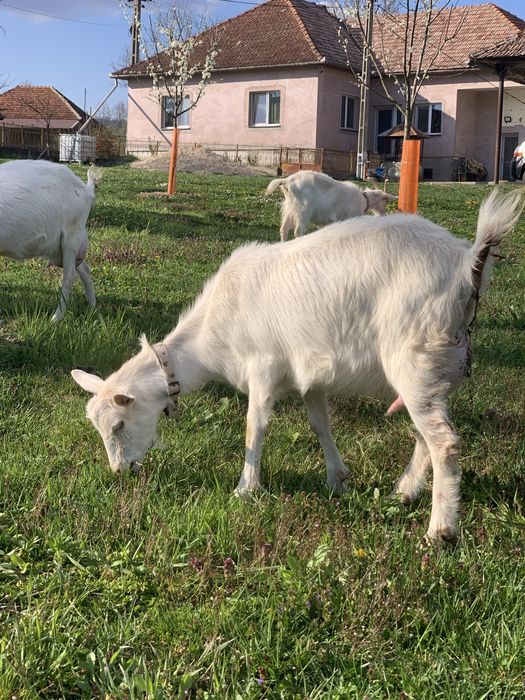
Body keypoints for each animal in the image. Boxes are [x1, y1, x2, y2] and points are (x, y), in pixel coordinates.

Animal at [0, 159, 101, 321]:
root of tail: (87, 191)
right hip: (69, 246)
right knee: (85, 269)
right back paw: (92, 307)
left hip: (70, 239)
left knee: (69, 276)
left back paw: (56, 318)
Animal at [71, 189, 523, 543]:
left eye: (118, 424)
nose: (119, 471)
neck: (211, 337)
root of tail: (467, 263)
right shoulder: (309, 377)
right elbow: (320, 424)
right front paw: (337, 479)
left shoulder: (262, 368)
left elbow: (255, 427)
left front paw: (245, 489)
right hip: (431, 368)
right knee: (424, 435)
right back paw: (406, 491)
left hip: (415, 356)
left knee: (443, 441)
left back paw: (440, 530)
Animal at [266, 170, 397, 240]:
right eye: (386, 201)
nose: (384, 215)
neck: (364, 200)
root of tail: (286, 181)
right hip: (302, 212)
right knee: (298, 232)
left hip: (290, 209)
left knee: (284, 229)